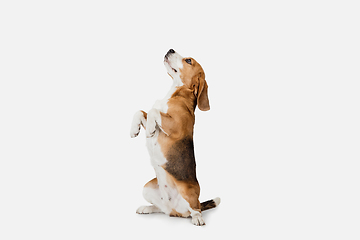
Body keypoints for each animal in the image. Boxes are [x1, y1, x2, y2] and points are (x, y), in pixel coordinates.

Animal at [129, 49, 219, 227]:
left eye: (189, 61)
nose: (170, 49)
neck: (176, 94)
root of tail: (175, 210)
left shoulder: (175, 126)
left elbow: (153, 111)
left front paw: (150, 128)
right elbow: (141, 111)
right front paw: (134, 129)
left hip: (188, 192)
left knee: (196, 208)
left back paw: (198, 218)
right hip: (147, 189)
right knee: (162, 209)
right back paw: (147, 208)